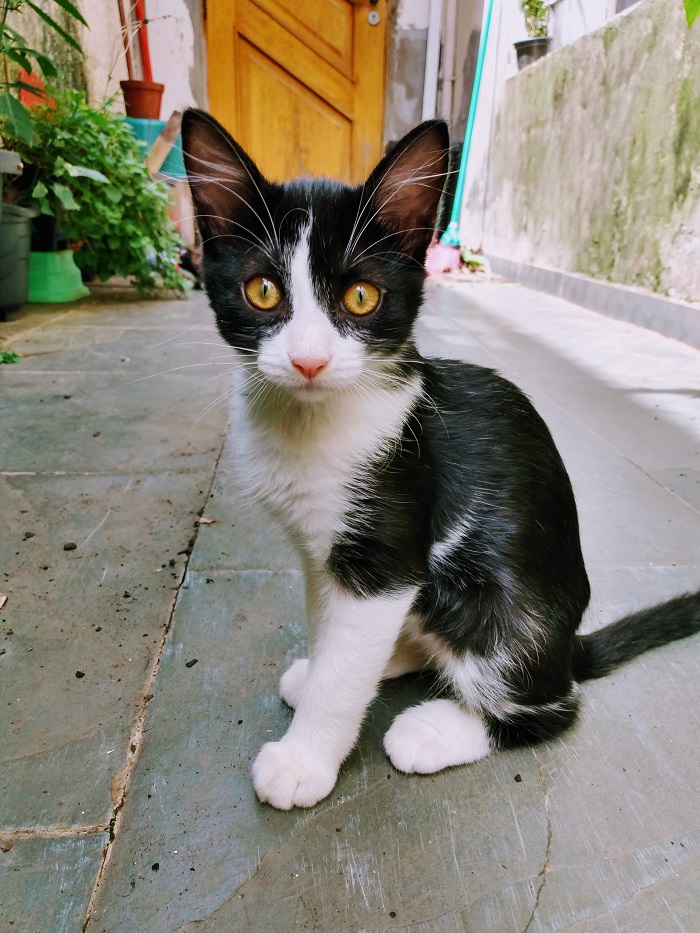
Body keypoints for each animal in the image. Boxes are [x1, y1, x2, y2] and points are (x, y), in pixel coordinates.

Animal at [182, 109, 700, 808]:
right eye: (262, 291)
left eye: (362, 298)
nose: (309, 360)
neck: (314, 422)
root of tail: (568, 649)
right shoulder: (322, 555)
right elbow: (332, 630)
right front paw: (318, 670)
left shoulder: (388, 549)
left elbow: (346, 666)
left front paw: (303, 759)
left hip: (496, 606)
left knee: (550, 707)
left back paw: (435, 728)